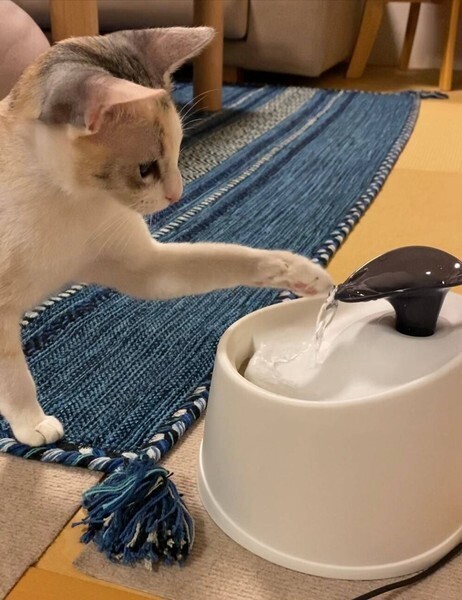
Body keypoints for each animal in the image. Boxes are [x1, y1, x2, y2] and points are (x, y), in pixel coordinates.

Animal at [0, 27, 332, 447]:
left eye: (178, 151)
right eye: (145, 169)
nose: (178, 194)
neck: (73, 202)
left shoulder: (145, 268)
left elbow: (226, 257)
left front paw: (298, 271)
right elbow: (15, 377)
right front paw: (31, 422)